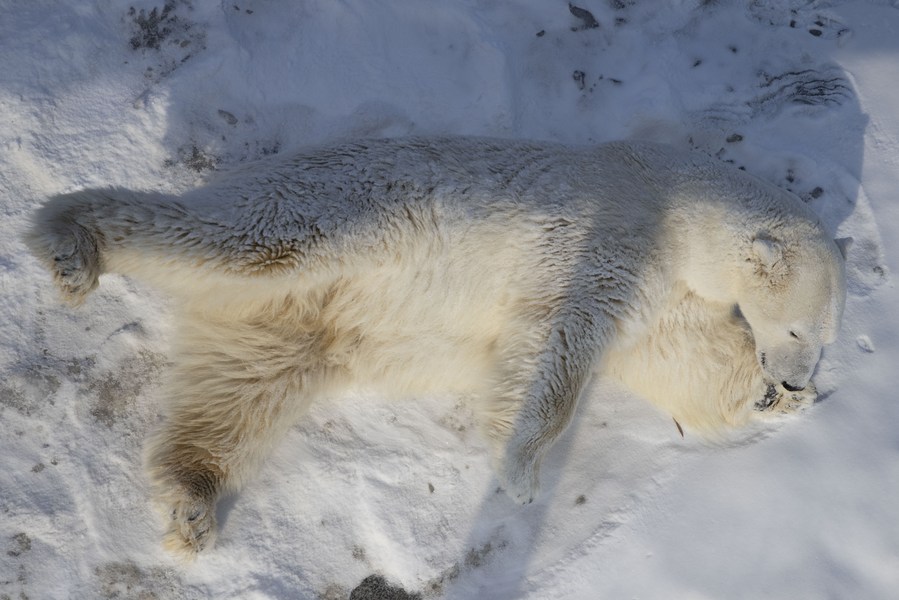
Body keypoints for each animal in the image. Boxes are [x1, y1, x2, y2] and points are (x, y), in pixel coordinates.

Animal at [22, 136, 852, 556]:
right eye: (798, 329)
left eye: (819, 336)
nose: (793, 377)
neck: (671, 198)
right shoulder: (606, 235)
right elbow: (558, 341)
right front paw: (521, 475)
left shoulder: (663, 298)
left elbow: (677, 354)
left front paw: (768, 400)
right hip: (325, 213)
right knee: (230, 238)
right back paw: (71, 242)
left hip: (282, 330)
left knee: (237, 394)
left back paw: (191, 501)